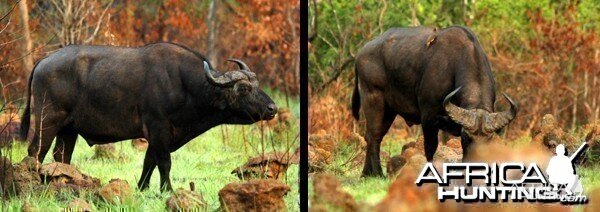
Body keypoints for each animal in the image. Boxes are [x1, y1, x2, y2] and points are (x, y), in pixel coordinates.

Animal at [19, 42, 278, 190]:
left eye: (257, 85)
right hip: (47, 122)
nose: (272, 108)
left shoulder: (158, 136)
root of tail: (43, 60)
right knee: (36, 152)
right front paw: (167, 190)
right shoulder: (158, 128)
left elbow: (149, 162)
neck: (186, 85)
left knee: (61, 155)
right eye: (243, 89)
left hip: (68, 130)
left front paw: (142, 188)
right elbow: (164, 163)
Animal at [352, 25, 516, 176]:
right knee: (373, 136)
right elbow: (431, 147)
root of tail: (362, 52)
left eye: (489, 139)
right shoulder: (429, 117)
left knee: (376, 136)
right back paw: (375, 173)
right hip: (373, 98)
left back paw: (367, 173)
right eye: (465, 137)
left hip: (390, 110)